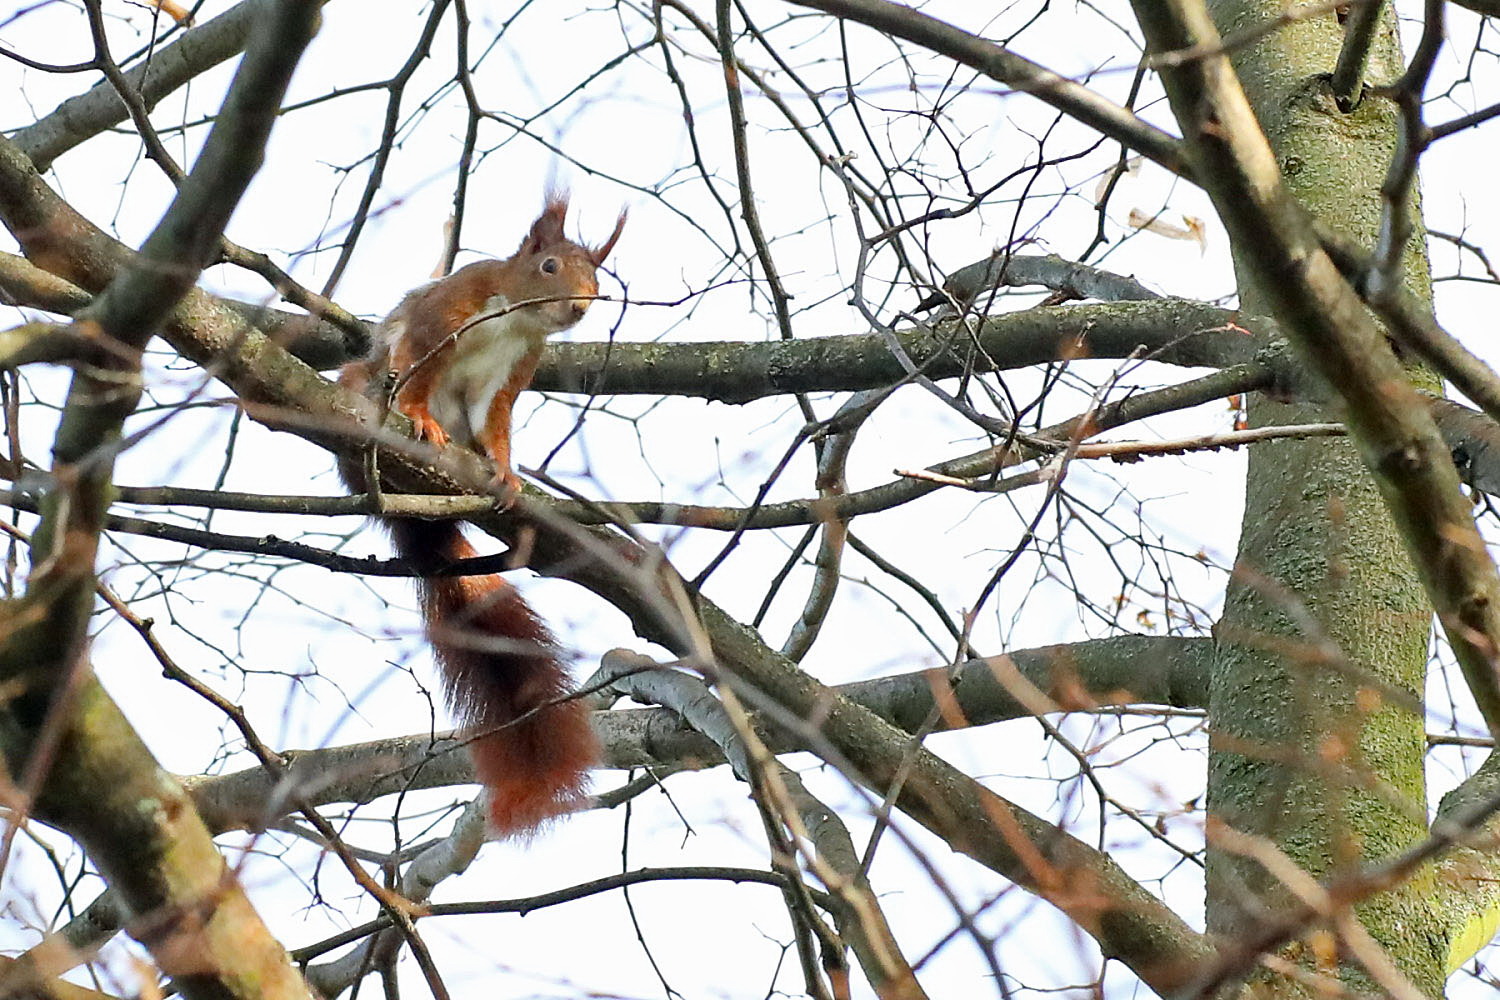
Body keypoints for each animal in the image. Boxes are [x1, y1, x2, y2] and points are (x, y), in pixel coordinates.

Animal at [340, 194, 621, 839]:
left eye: (597, 281)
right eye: (548, 266)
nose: (577, 308)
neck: (514, 321)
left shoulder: (510, 375)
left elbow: (494, 425)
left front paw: (508, 475)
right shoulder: (441, 317)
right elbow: (413, 370)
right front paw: (422, 419)